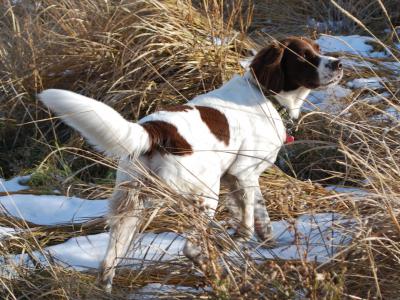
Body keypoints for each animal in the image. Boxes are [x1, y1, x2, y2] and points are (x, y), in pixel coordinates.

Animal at [38, 36, 344, 292]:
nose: (338, 63)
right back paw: (216, 273)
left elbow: (259, 216)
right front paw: (241, 240)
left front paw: (269, 244)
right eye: (304, 56)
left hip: (130, 206)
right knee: (191, 248)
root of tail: (154, 131)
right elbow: (248, 219)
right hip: (205, 194)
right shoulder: (243, 173)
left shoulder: (235, 177)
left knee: (108, 263)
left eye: (318, 49)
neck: (266, 96)